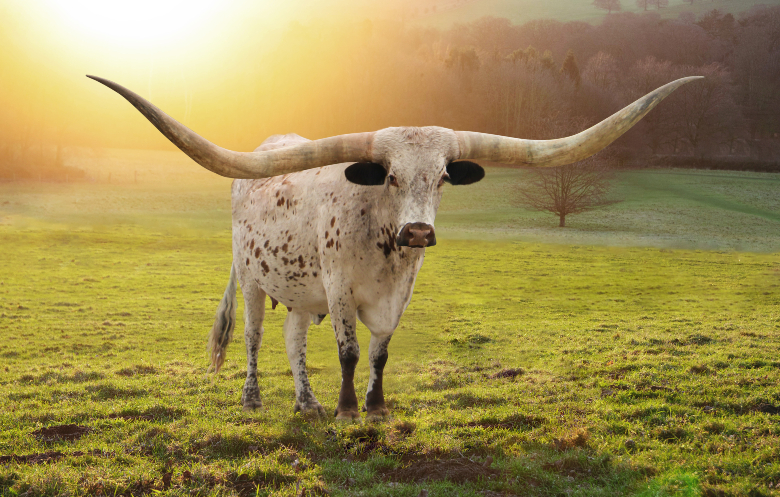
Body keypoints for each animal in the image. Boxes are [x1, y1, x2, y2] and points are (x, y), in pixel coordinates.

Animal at [89, 75, 701, 420]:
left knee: (293, 342)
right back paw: (254, 399)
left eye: (444, 177)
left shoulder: (398, 292)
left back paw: (305, 403)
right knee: (256, 340)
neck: (384, 248)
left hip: (300, 288)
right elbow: (349, 352)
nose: (419, 232)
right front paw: (347, 410)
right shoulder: (339, 288)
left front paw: (375, 408)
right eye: (388, 176)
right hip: (254, 281)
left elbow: (380, 353)